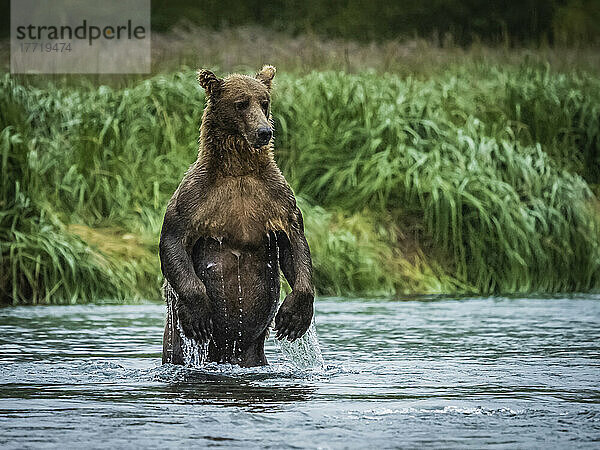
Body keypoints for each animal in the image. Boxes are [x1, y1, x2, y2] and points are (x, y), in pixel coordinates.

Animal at [157, 67, 316, 370]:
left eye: (264, 102)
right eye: (241, 103)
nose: (264, 131)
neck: (238, 169)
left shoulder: (276, 197)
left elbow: (294, 244)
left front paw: (293, 318)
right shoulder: (194, 195)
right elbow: (173, 240)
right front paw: (198, 314)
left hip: (252, 351)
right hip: (176, 340)